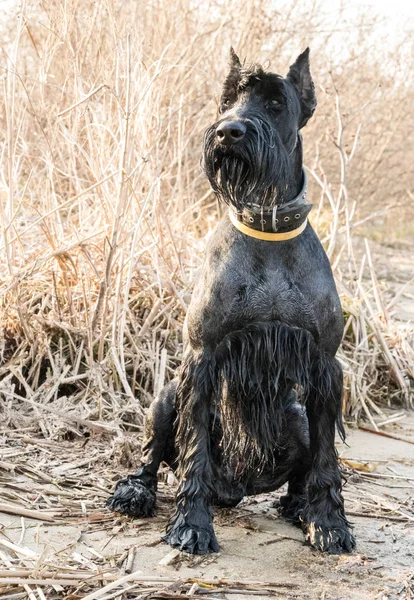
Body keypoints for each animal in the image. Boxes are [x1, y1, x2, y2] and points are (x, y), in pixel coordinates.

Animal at [107, 49, 356, 556]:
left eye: (276, 102)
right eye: (227, 101)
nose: (229, 131)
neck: (268, 228)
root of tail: (237, 488)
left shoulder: (324, 366)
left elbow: (326, 460)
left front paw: (329, 524)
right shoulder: (202, 360)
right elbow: (195, 452)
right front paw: (192, 525)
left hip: (297, 416)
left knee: (301, 469)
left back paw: (299, 505)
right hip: (164, 398)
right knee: (152, 456)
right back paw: (136, 492)